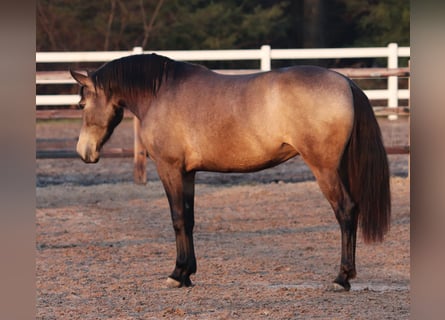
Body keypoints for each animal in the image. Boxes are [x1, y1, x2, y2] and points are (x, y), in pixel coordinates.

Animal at [69, 53, 388, 292]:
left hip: (325, 169)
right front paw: (187, 273)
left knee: (346, 211)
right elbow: (189, 219)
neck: (160, 92)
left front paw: (177, 274)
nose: (84, 152)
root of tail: (345, 82)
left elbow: (177, 219)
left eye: (82, 104)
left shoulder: (169, 168)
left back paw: (341, 278)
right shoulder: (188, 173)